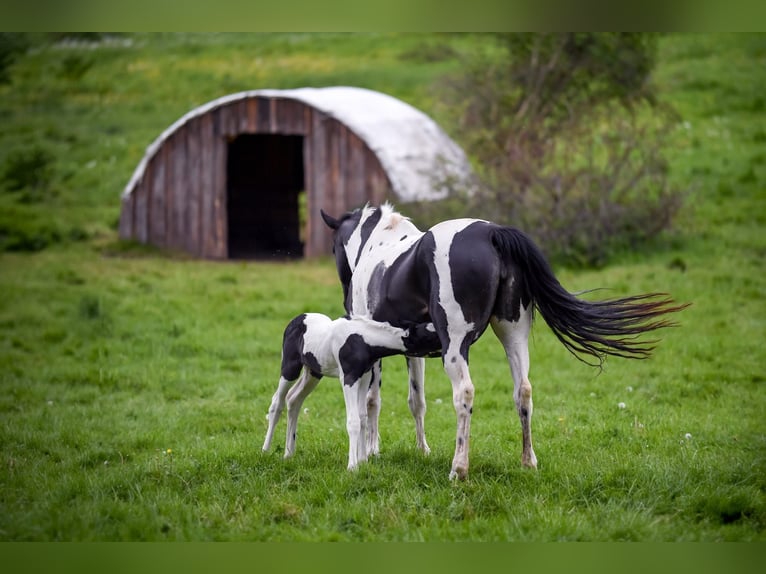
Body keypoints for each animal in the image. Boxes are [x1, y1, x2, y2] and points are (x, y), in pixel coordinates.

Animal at [262, 312, 440, 469]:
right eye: (430, 335)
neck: (363, 340)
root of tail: (296, 320)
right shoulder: (349, 378)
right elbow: (353, 421)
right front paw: (352, 466)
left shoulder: (365, 377)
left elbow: (362, 417)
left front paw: (363, 461)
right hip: (290, 367)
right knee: (276, 404)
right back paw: (265, 451)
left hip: (314, 372)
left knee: (294, 399)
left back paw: (289, 453)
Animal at [321, 203, 689, 480]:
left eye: (334, 246)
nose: (343, 293)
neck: (380, 253)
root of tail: (491, 233)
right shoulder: (411, 349)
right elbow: (416, 400)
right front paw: (421, 450)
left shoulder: (375, 348)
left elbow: (372, 402)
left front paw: (370, 453)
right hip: (513, 335)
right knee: (523, 390)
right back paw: (528, 462)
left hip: (456, 349)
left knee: (464, 394)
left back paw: (459, 469)